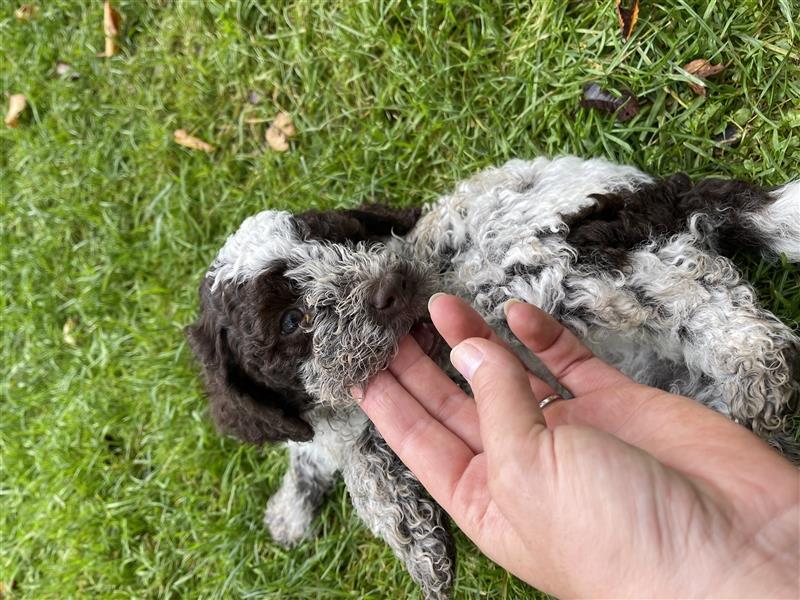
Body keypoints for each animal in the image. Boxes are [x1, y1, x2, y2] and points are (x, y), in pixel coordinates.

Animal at [189, 156, 800, 600]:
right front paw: (291, 513)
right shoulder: (327, 421)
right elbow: (323, 456)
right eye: (291, 320)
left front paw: (420, 552)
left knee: (706, 300)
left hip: (573, 263)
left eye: (343, 236)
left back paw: (758, 372)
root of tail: (665, 193)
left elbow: (364, 474)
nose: (392, 287)